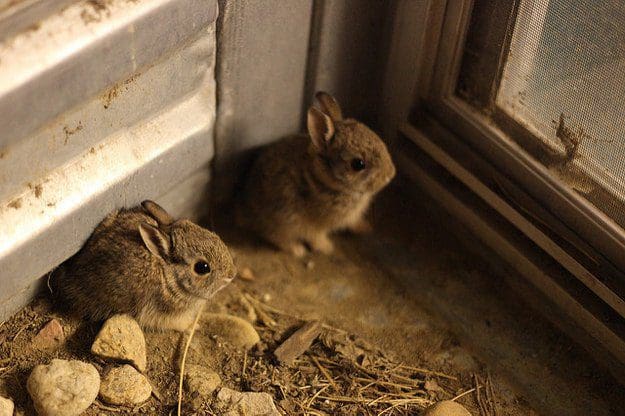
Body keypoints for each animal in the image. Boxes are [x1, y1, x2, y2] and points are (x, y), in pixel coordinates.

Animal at [236, 92, 398, 256]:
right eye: (358, 164)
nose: (390, 174)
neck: (328, 181)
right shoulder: (314, 225)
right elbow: (316, 237)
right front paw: (327, 248)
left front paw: (366, 228)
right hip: (283, 221)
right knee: (274, 235)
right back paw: (298, 250)